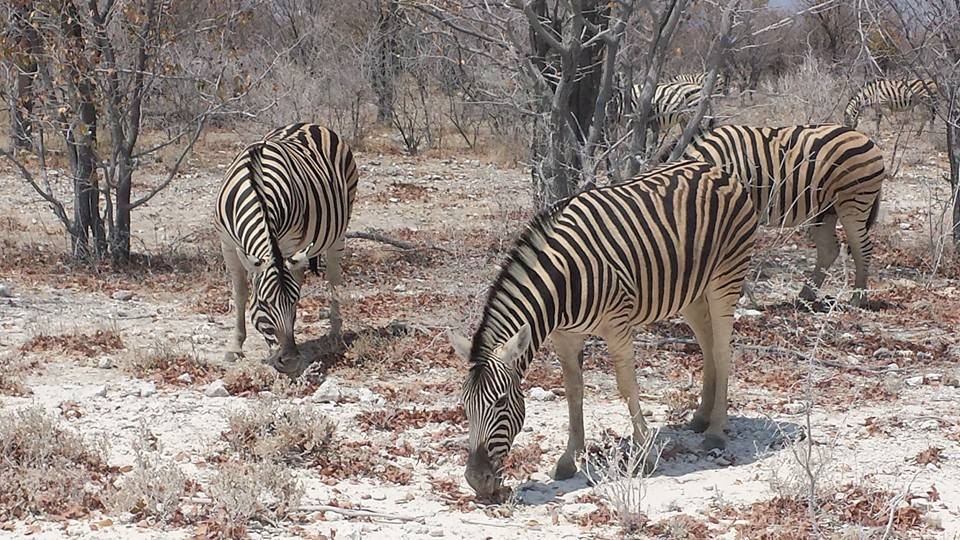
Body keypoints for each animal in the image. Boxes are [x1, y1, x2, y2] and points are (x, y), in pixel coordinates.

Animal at [215, 123, 358, 374]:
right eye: (262, 303)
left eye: (295, 301)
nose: (290, 360)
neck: (257, 188)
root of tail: (311, 124)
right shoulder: (228, 244)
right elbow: (240, 291)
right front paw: (235, 346)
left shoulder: (289, 240)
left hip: (339, 230)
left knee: (334, 279)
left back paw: (335, 334)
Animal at [448, 160, 758, 498]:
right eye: (465, 405)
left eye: (501, 402)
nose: (476, 480)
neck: (561, 282)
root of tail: (713, 168)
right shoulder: (564, 336)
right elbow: (574, 391)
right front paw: (569, 460)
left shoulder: (617, 326)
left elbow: (627, 386)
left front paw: (646, 454)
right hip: (689, 291)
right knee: (706, 343)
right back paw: (702, 417)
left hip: (725, 278)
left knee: (722, 349)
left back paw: (716, 431)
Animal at [671, 124, 886, 307]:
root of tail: (865, 138)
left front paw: (739, 294)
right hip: (825, 210)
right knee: (829, 250)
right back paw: (804, 297)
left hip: (853, 201)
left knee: (862, 248)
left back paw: (856, 299)